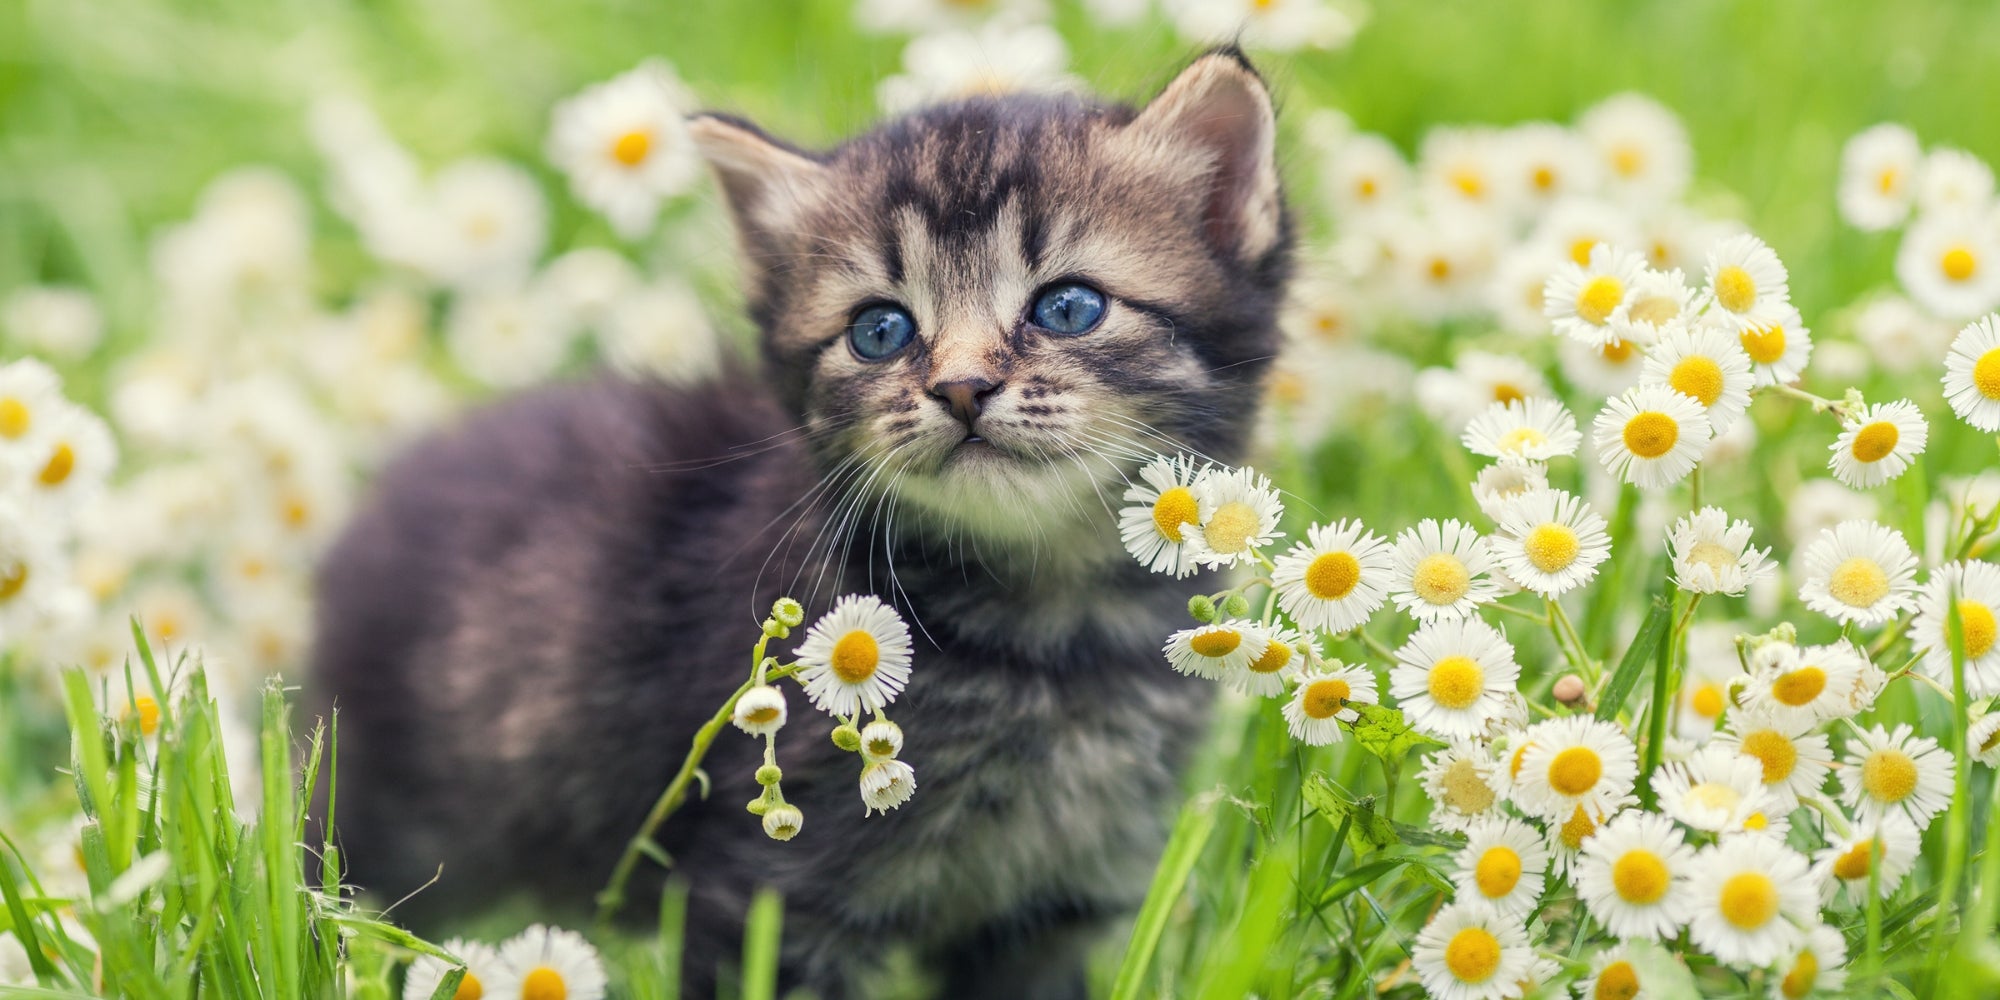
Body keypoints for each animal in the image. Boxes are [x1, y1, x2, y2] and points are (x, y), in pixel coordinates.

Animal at [304, 48, 1288, 1000]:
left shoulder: (1055, 903)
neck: (1049, 638)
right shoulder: (771, 892)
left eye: (1070, 307)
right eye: (880, 330)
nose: (962, 388)